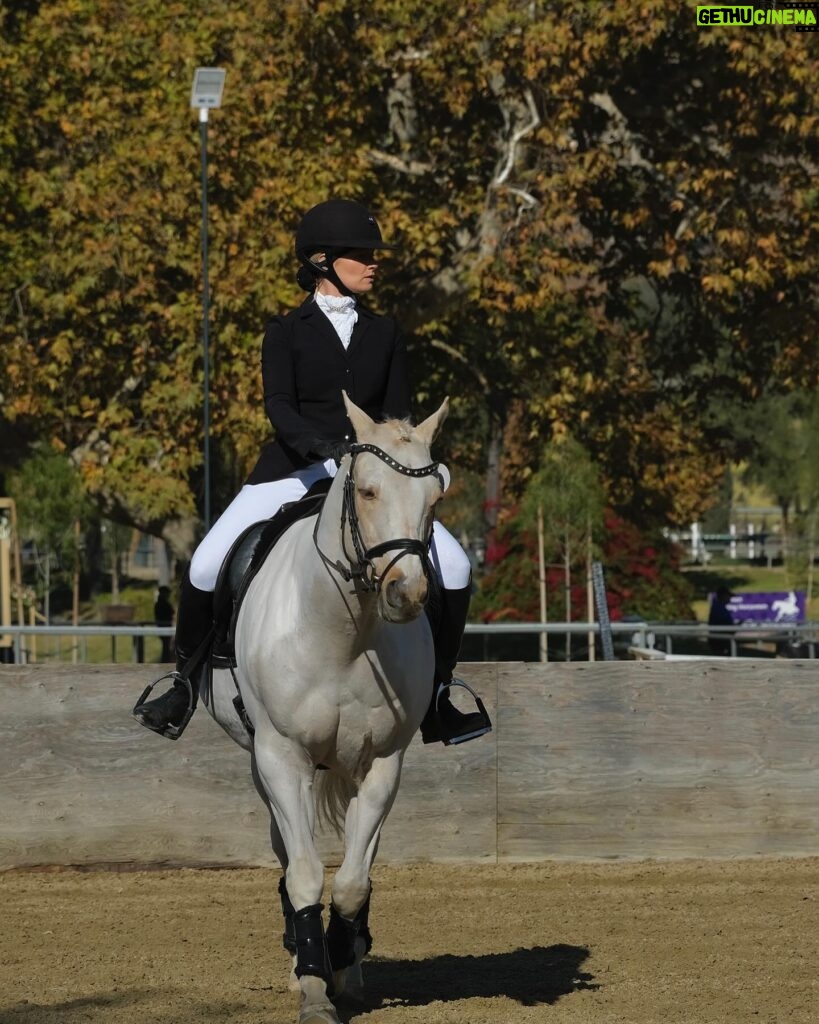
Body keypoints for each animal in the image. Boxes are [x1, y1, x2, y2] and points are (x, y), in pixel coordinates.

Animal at [202, 391, 450, 1024]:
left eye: (435, 497)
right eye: (365, 489)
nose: (407, 594)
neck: (347, 634)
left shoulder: (384, 764)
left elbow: (353, 882)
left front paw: (341, 965)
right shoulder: (281, 758)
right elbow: (306, 876)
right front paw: (313, 985)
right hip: (263, 763)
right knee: (288, 857)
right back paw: (299, 957)